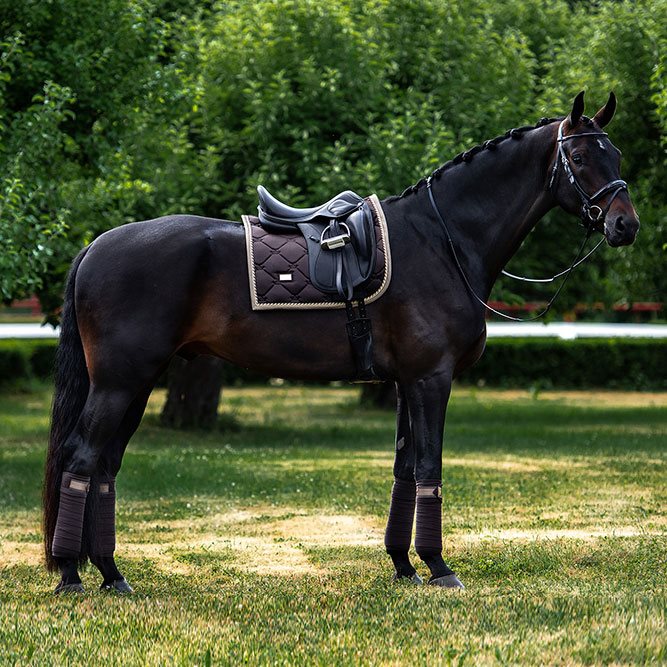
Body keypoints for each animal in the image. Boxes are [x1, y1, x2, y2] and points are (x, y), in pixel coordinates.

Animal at [43, 90, 640, 596]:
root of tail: (96, 245)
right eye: (580, 157)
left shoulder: (404, 382)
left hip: (137, 384)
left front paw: (403, 566)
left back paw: (111, 574)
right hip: (120, 383)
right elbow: (429, 467)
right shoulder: (431, 378)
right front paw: (438, 567)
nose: (625, 225)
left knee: (104, 467)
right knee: (81, 459)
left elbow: (405, 470)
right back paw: (71, 574)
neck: (441, 240)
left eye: (615, 154)